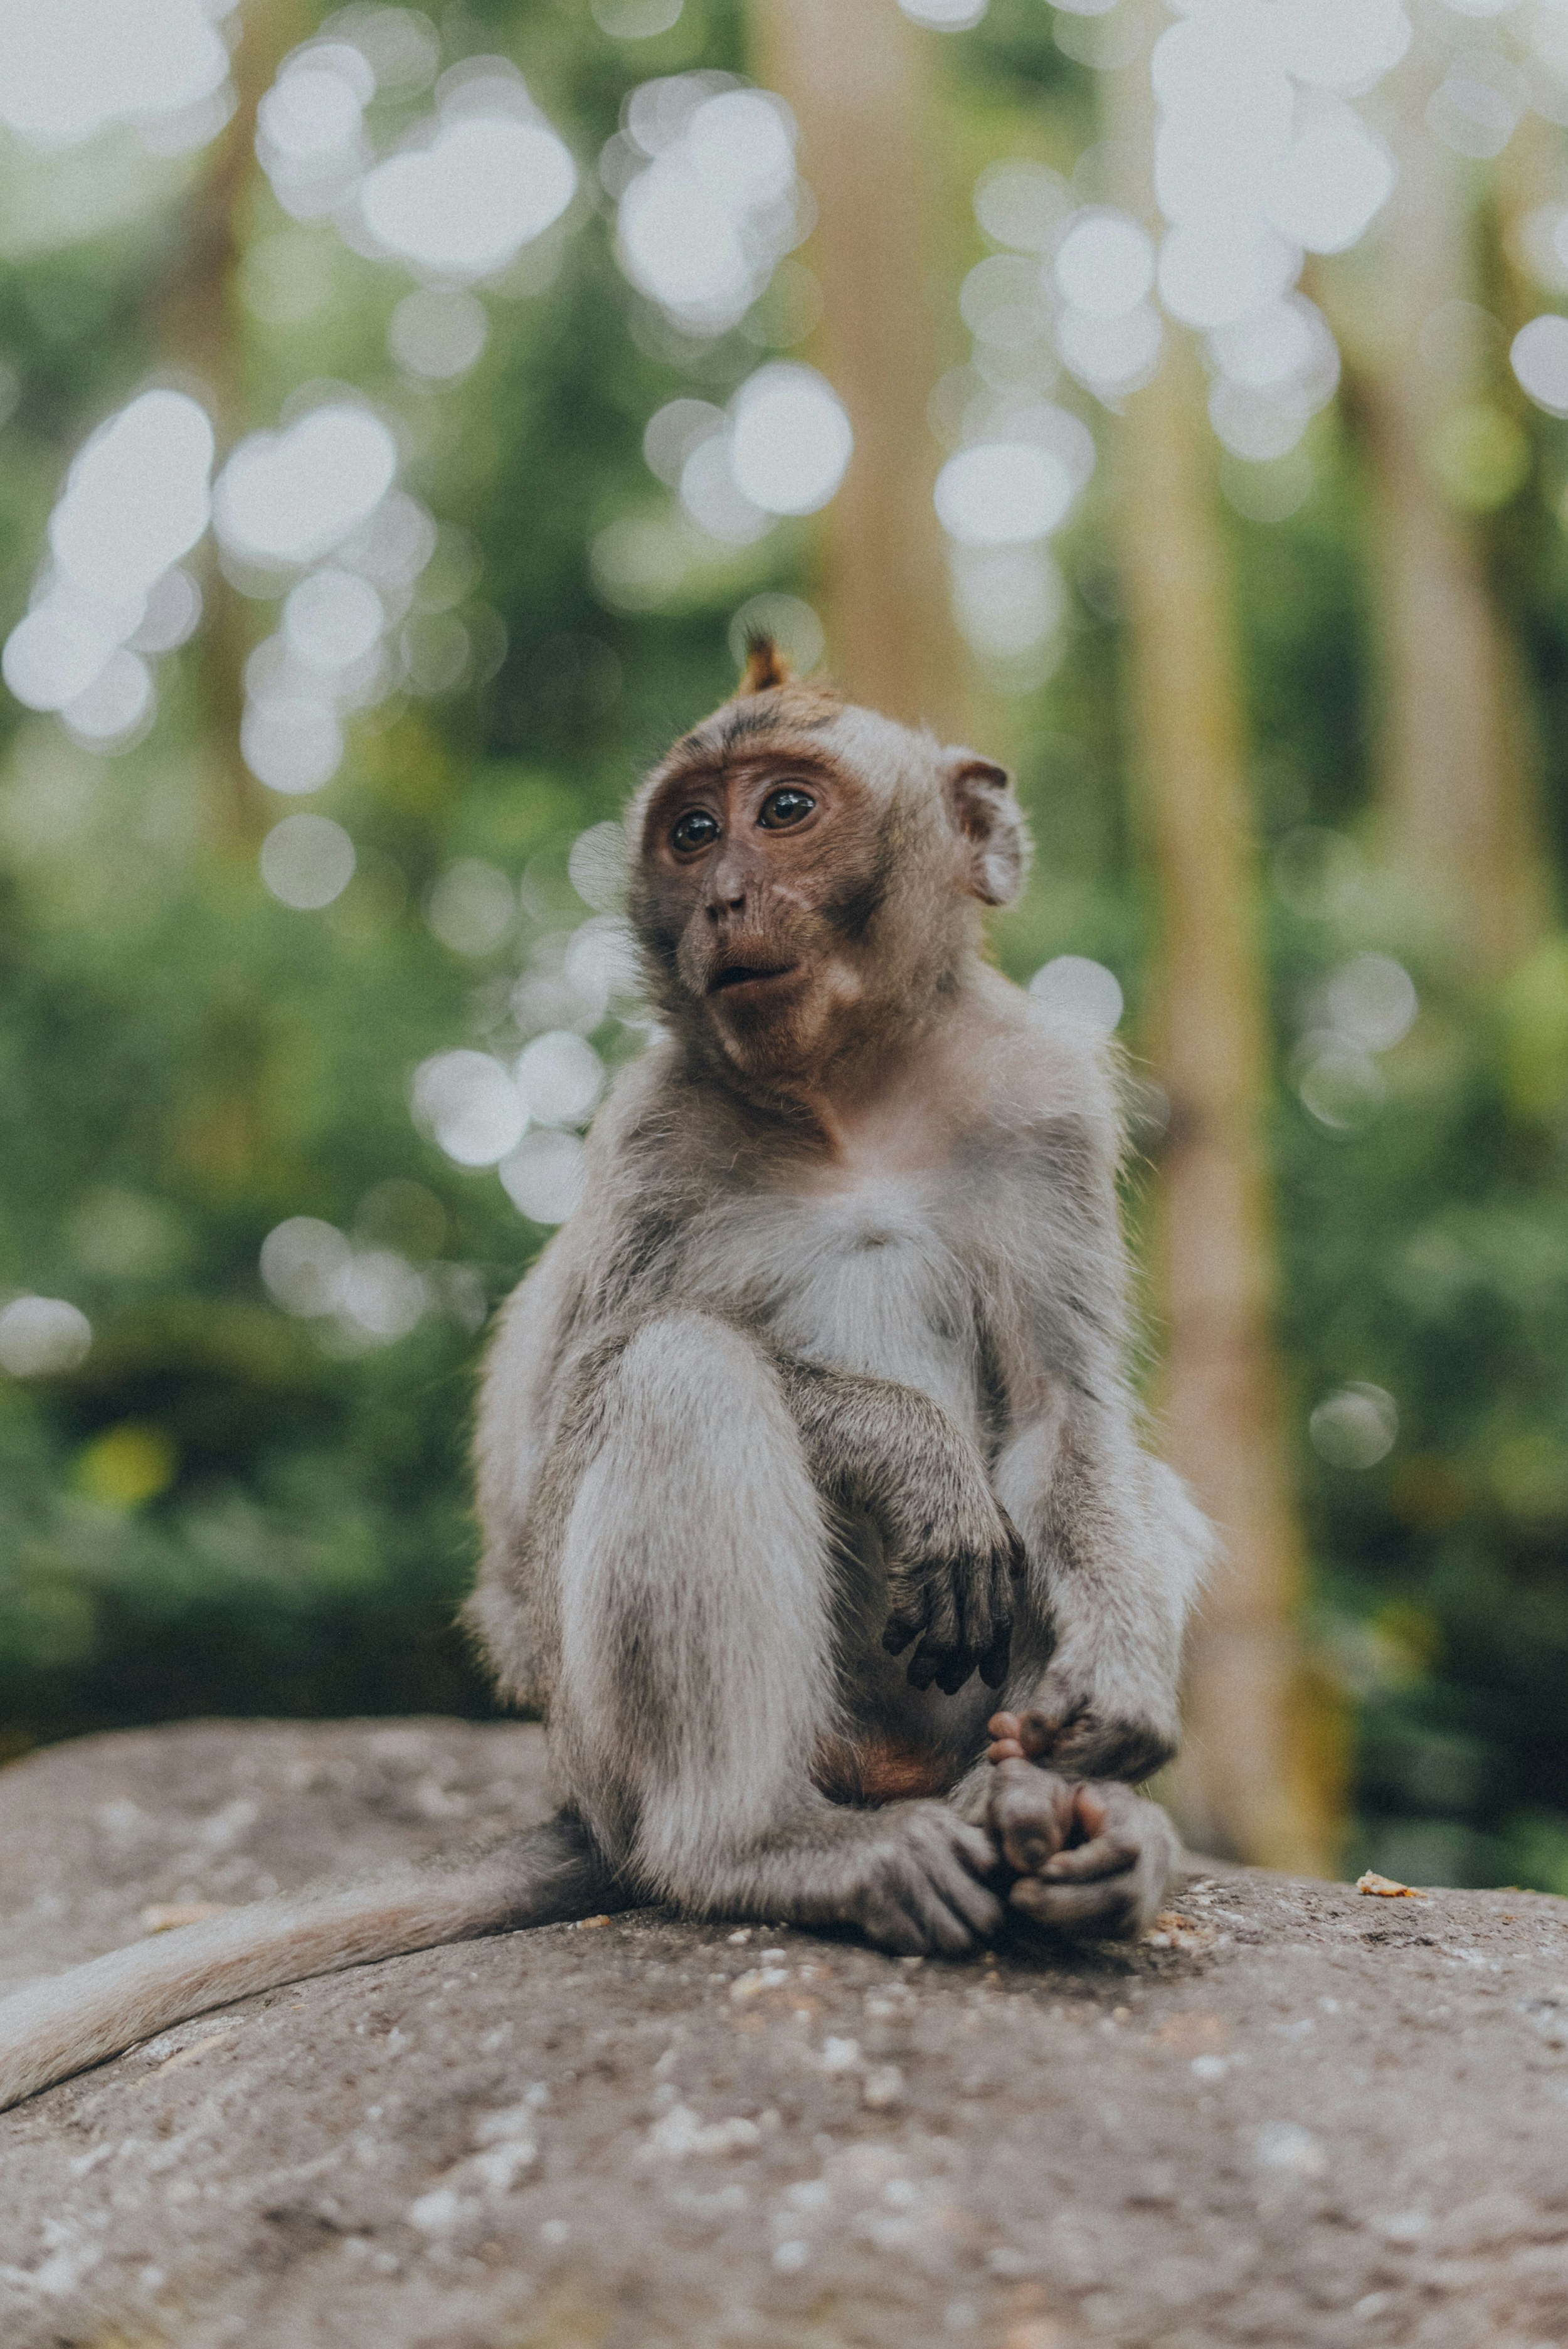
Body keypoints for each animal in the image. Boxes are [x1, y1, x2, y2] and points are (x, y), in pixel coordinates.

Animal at [0, 637, 1211, 2114]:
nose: (725, 895)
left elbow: (1062, 1419)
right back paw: (753, 1846)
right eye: (691, 833)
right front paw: (908, 1451)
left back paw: (1060, 1820)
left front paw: (1112, 1709)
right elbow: (565, 1464)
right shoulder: (650, 1138)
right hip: (613, 1737)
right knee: (679, 1378)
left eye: (784, 812)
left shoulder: (1044, 1109)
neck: (851, 1099)